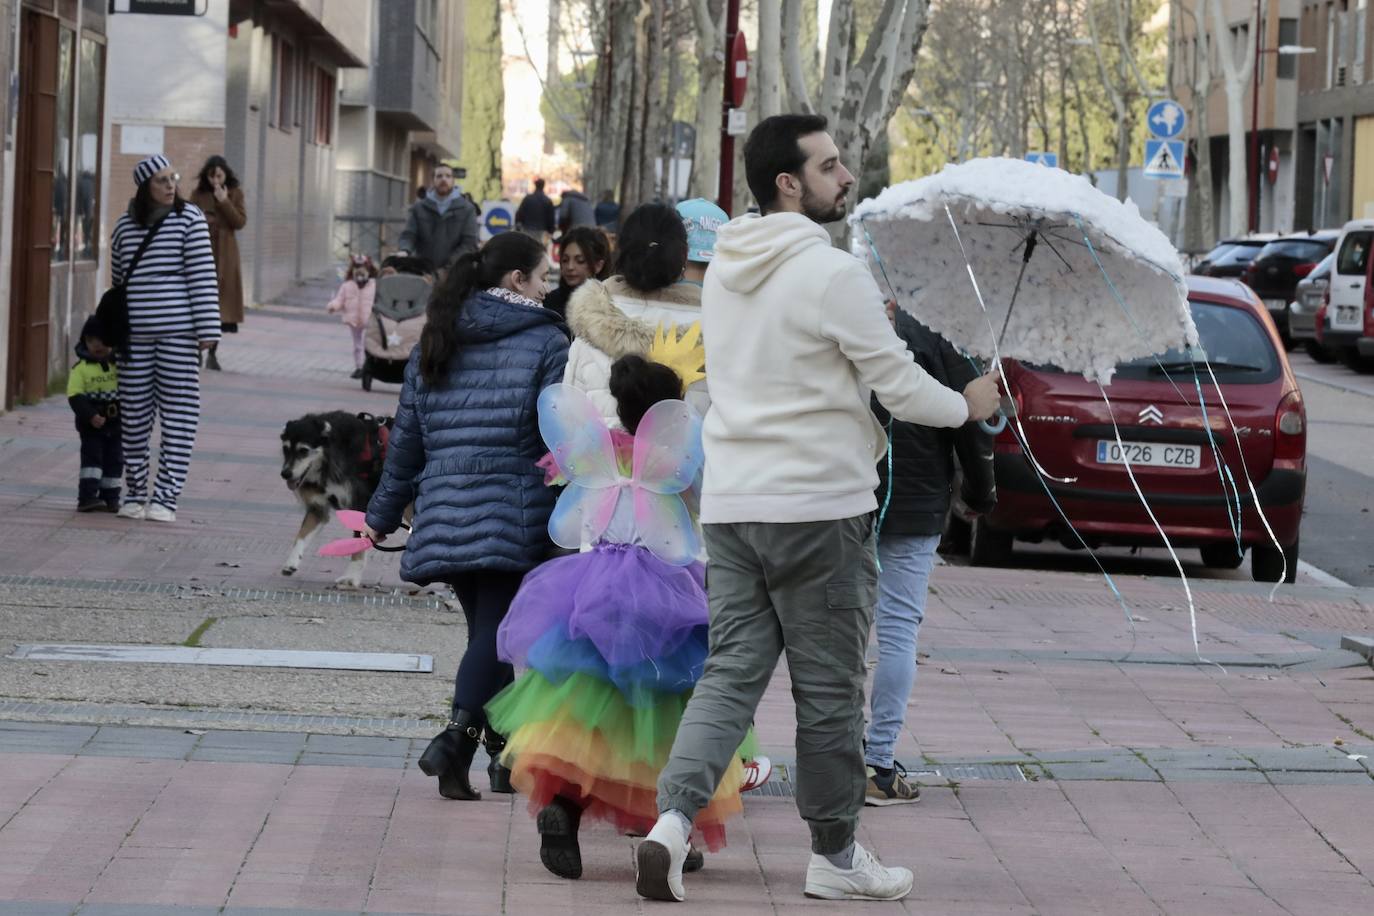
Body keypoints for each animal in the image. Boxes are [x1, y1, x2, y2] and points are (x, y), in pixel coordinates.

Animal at [280, 409, 395, 587]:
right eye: (286, 449)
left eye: (304, 450)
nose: (285, 474)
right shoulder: (318, 508)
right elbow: (301, 535)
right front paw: (291, 562)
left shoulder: (360, 504)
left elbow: (358, 542)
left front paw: (351, 577)